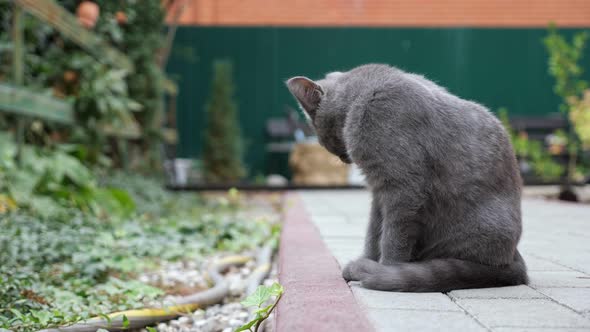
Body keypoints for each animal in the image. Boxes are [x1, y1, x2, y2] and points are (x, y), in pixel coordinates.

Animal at [286, 63, 528, 292]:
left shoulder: (402, 188)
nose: (341, 157)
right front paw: (367, 261)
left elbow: (393, 236)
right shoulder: (378, 192)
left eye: (319, 135)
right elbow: (373, 232)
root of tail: (513, 257)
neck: (362, 97)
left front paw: (385, 270)